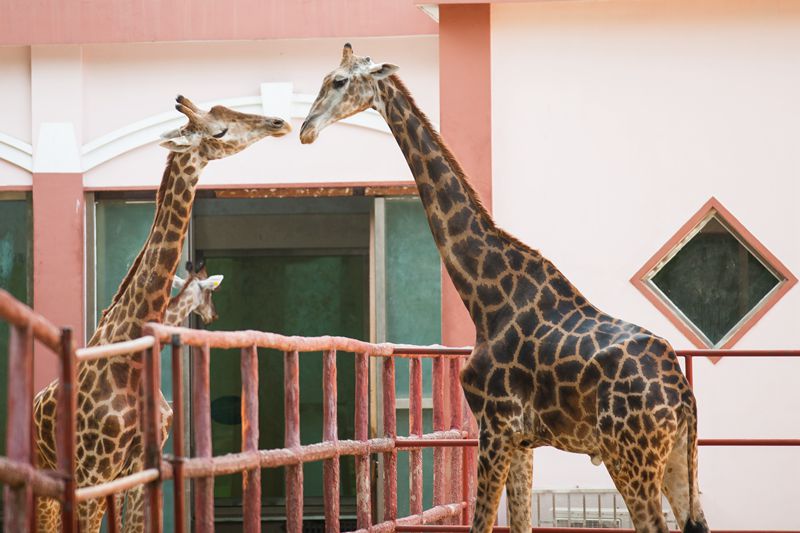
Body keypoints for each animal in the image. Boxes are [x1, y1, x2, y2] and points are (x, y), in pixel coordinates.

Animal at [35, 96, 290, 532]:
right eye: (219, 130)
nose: (279, 122)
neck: (130, 361)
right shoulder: (93, 472)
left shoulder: (138, 470)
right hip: (51, 476)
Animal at [298, 44, 708, 532]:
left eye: (339, 81)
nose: (305, 130)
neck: (484, 299)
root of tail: (682, 395)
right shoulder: (521, 440)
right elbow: (518, 522)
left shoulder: (495, 426)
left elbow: (482, 523)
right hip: (677, 456)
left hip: (630, 454)